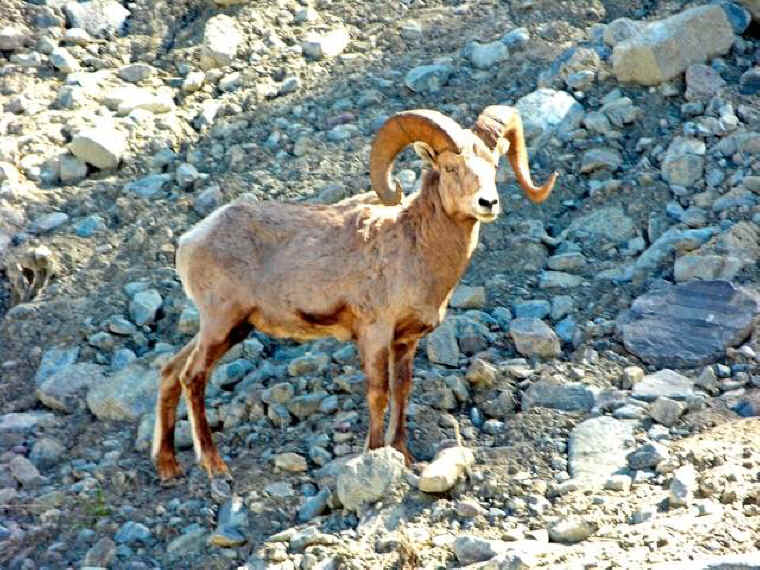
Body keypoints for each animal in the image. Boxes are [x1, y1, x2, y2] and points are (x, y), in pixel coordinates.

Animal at [152, 105, 557, 480]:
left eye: (494, 165)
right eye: (451, 168)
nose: (488, 204)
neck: (415, 250)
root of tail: (190, 240)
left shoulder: (406, 341)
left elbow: (402, 391)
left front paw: (405, 457)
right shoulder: (374, 334)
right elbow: (378, 393)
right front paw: (374, 455)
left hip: (230, 329)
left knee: (170, 370)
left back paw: (168, 466)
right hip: (221, 323)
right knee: (192, 377)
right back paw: (214, 466)